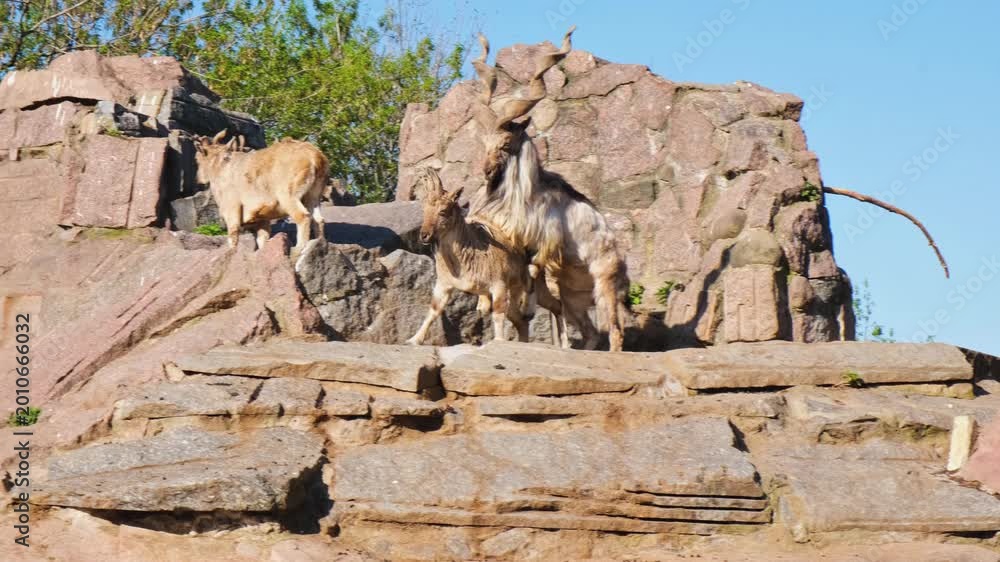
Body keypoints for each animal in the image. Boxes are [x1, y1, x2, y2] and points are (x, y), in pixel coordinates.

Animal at [193, 130, 329, 254]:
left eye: (197, 159)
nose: (198, 180)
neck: (220, 166)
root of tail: (314, 157)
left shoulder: (231, 209)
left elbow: (233, 236)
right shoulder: (262, 219)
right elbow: (262, 239)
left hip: (288, 195)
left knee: (302, 216)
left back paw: (299, 248)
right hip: (313, 195)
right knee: (318, 220)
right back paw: (319, 244)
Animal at [407, 168, 532, 346]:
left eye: (443, 211)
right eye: (424, 210)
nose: (424, 235)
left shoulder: (499, 285)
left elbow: (498, 314)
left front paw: (498, 341)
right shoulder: (444, 284)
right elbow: (434, 310)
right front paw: (414, 339)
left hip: (515, 289)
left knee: (519, 319)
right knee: (518, 319)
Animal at [468, 28, 630, 352]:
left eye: (506, 144)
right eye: (486, 142)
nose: (486, 171)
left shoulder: (543, 246)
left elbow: (531, 275)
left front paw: (524, 312)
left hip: (604, 283)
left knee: (615, 331)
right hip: (575, 298)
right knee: (590, 332)